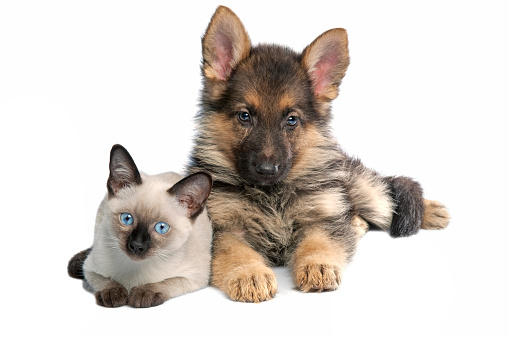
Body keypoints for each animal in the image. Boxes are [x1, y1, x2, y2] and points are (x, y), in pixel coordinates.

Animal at [81, 144, 212, 308]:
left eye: (161, 227)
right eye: (127, 219)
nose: (137, 246)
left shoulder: (196, 277)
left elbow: (166, 282)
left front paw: (143, 294)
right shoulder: (89, 269)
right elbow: (106, 280)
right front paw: (113, 293)